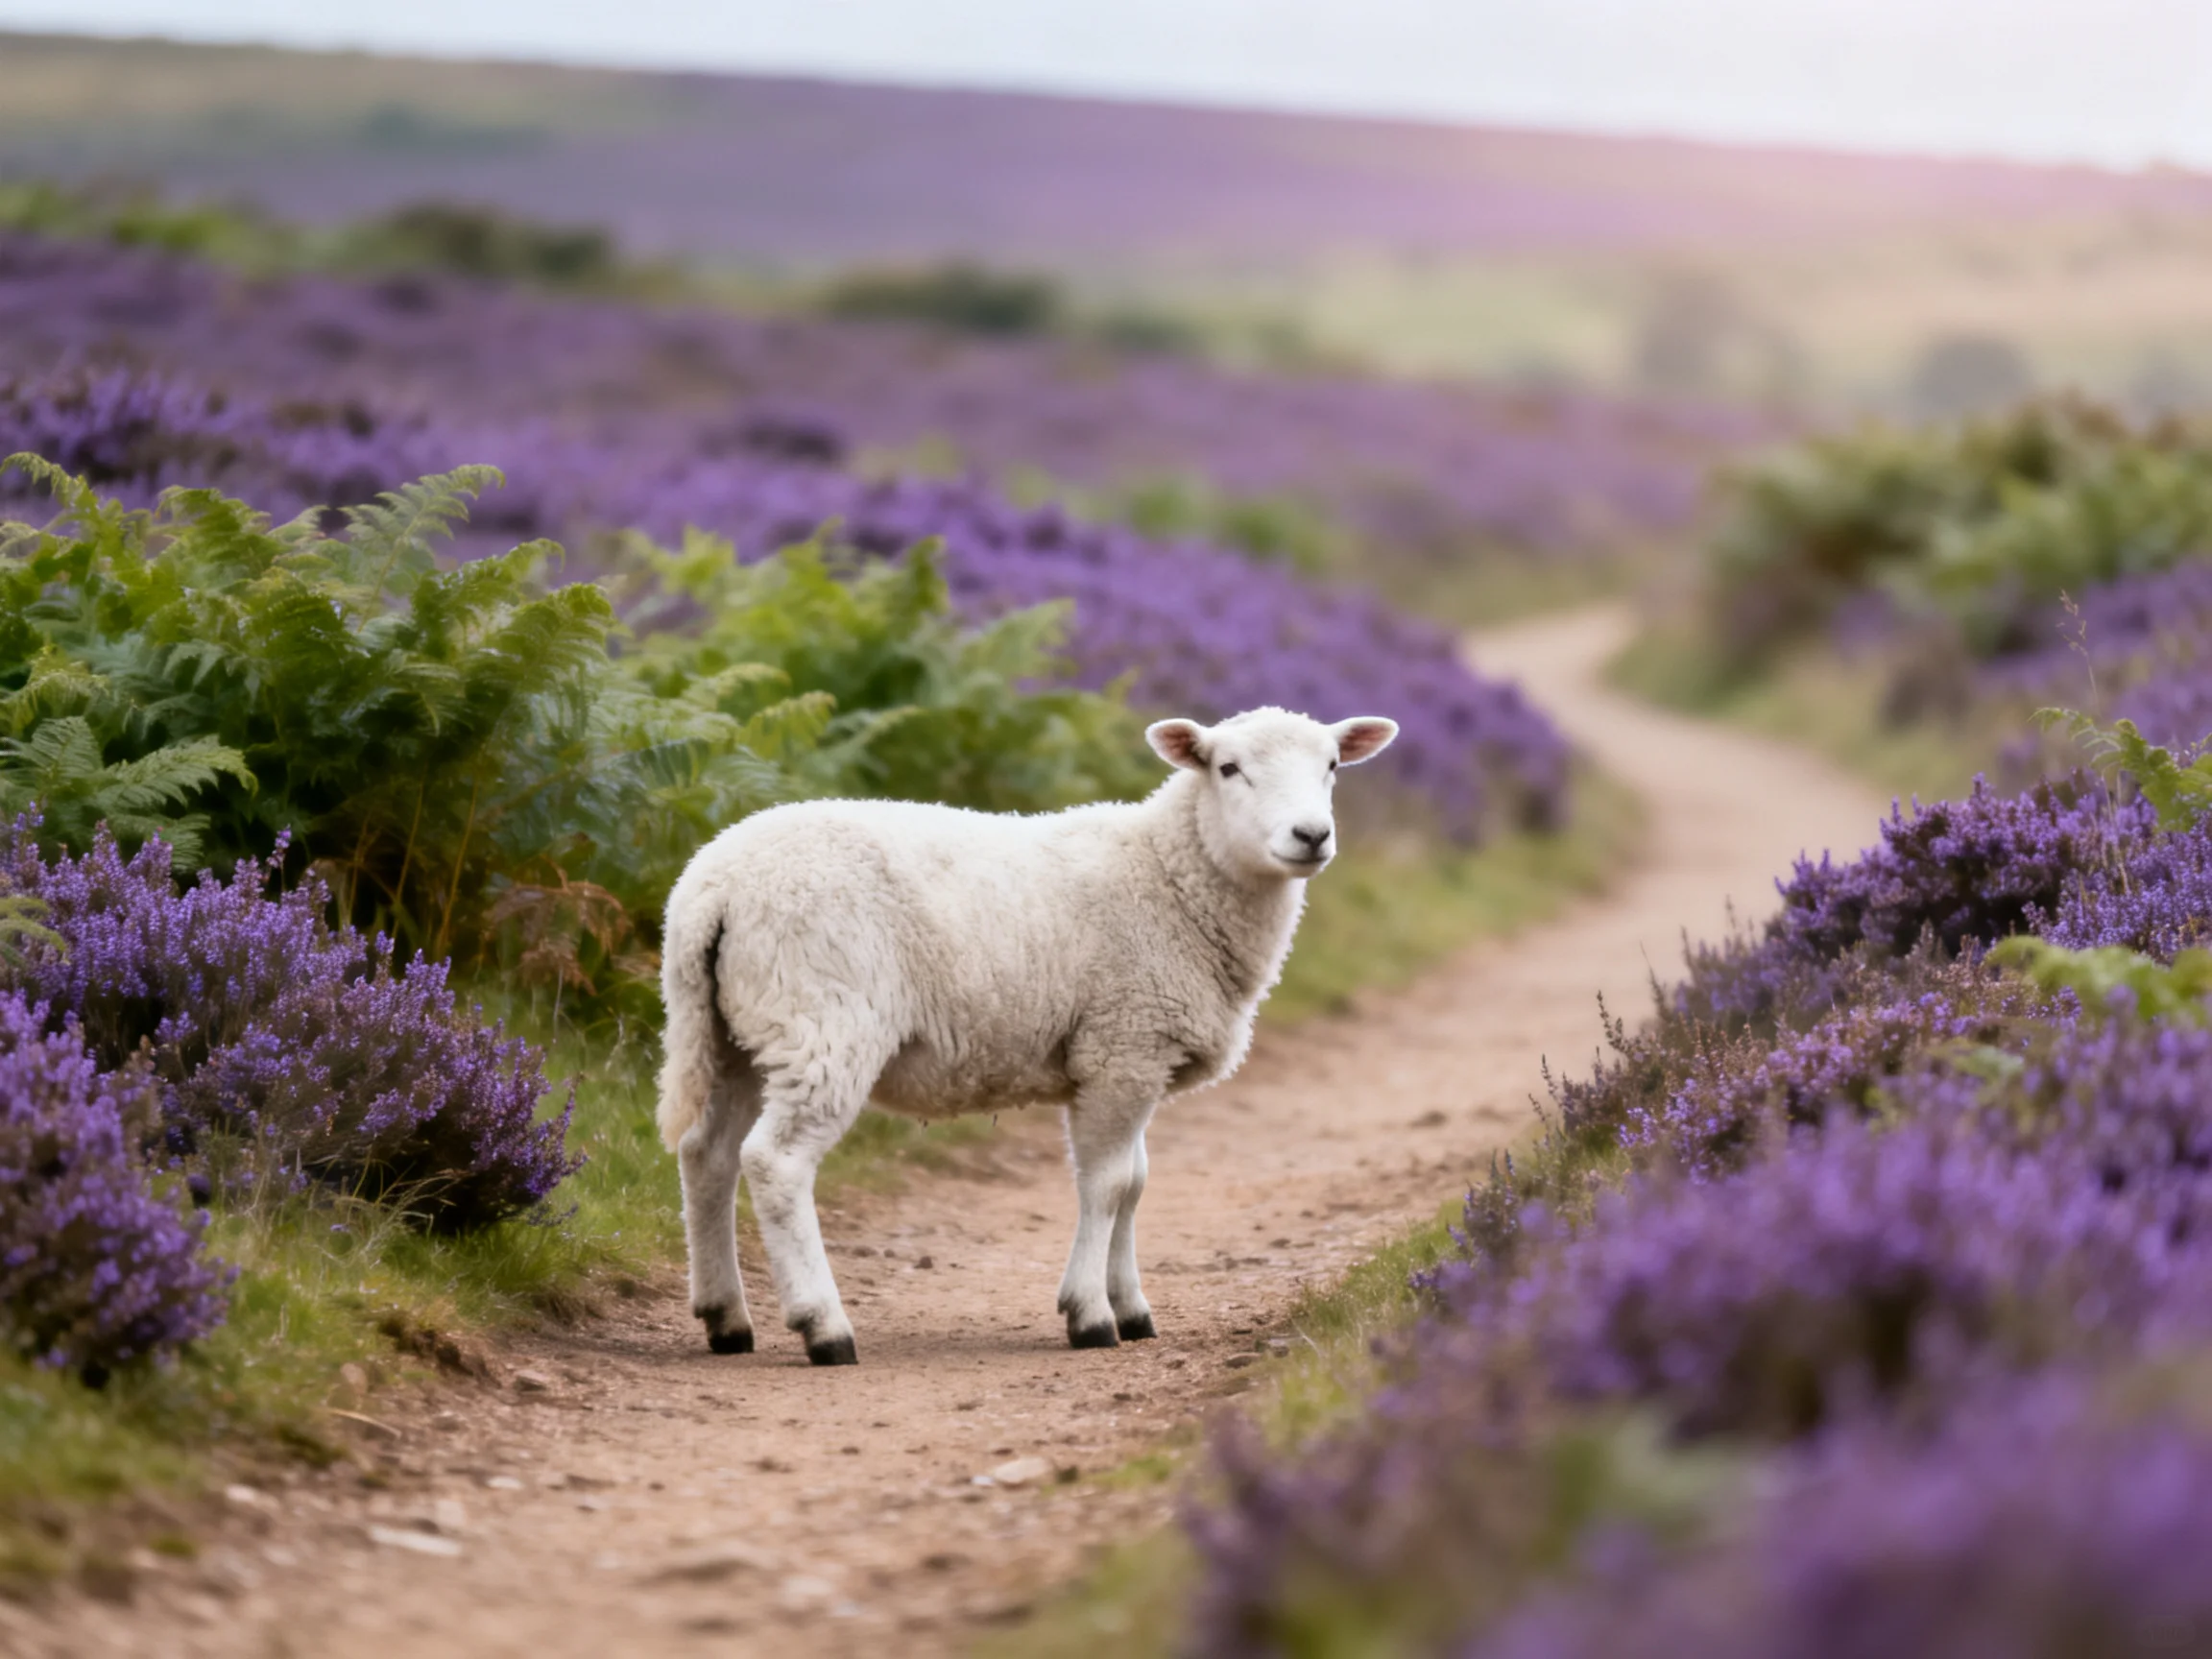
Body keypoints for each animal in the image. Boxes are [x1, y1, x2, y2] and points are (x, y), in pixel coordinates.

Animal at [655, 706, 1399, 1364]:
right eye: (1229, 768)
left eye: (1333, 766)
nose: (1311, 835)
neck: (1170, 877)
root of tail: (712, 887)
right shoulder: (1122, 1044)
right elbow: (1107, 1186)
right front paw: (1090, 1316)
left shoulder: (1134, 1058)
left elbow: (1136, 1183)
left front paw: (1131, 1308)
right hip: (823, 1020)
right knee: (774, 1163)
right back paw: (824, 1328)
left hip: (735, 1031)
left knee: (707, 1155)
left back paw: (726, 1319)